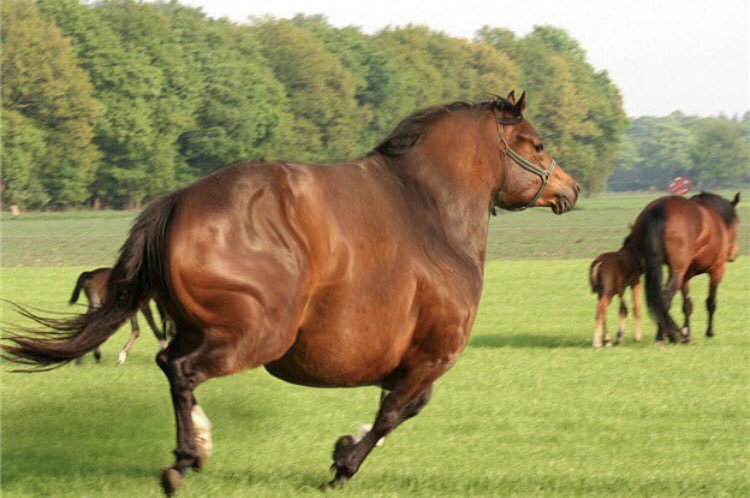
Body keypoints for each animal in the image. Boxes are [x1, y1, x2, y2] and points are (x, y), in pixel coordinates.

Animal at [2, 91, 579, 495]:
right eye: (537, 144)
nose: (569, 189)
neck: (429, 211)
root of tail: (178, 202)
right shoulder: (430, 354)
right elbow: (397, 411)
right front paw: (342, 463)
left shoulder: (416, 359)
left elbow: (395, 408)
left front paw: (345, 445)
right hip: (257, 334)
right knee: (183, 371)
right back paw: (184, 459)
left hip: (205, 327)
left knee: (171, 364)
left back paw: (199, 444)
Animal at [632, 192, 740, 344]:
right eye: (737, 222)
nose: (734, 253)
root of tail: (659, 210)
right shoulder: (717, 270)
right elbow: (711, 302)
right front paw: (709, 332)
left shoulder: (686, 276)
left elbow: (687, 306)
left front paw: (687, 333)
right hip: (678, 271)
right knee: (665, 297)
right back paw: (663, 336)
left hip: (657, 268)